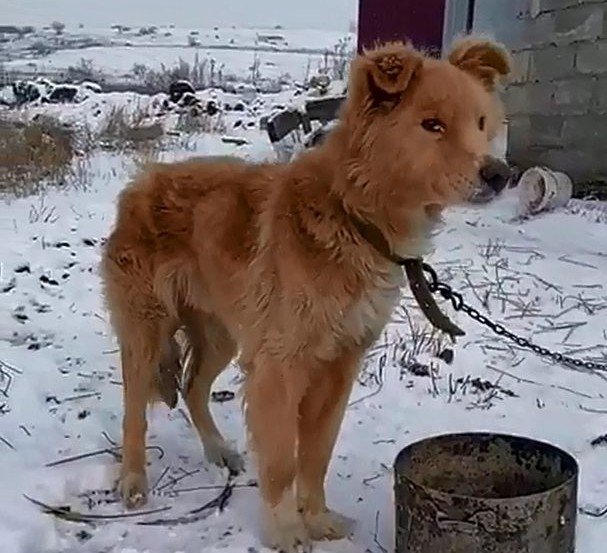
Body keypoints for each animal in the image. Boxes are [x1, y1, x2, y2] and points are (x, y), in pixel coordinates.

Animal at [102, 38, 510, 552]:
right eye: (432, 125)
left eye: (481, 123)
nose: (499, 174)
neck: (353, 218)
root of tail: (140, 183)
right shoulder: (280, 365)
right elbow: (282, 460)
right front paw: (286, 531)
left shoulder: (340, 364)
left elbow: (316, 456)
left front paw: (316, 518)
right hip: (146, 330)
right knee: (134, 408)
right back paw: (133, 480)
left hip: (221, 334)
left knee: (194, 388)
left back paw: (218, 451)